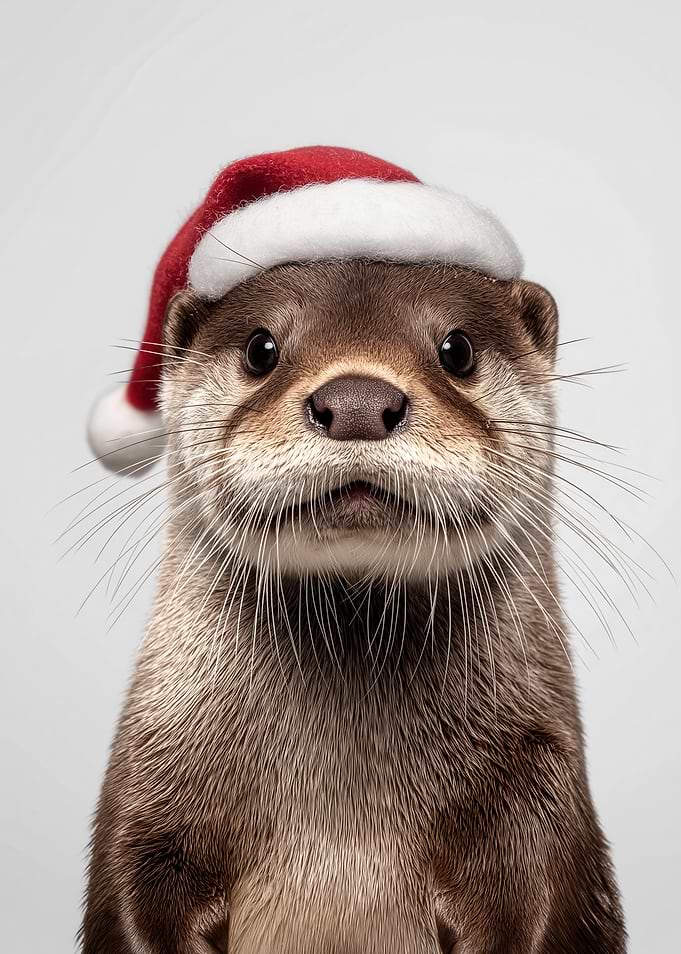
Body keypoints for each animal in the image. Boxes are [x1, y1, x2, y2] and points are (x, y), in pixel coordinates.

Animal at [80, 259, 625, 953]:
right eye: (261, 349)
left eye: (457, 350)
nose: (357, 402)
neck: (343, 811)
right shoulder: (144, 794)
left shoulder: (539, 792)